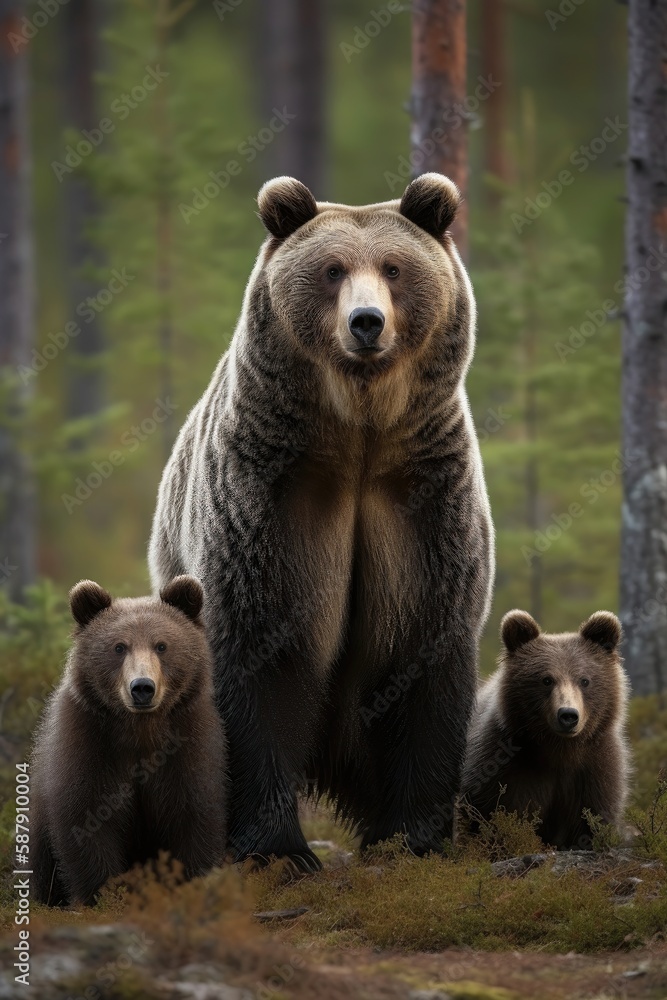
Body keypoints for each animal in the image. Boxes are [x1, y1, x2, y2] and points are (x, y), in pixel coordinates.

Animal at [31, 575, 227, 906]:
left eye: (162, 645)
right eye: (119, 647)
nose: (142, 687)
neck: (140, 730)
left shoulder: (188, 744)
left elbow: (192, 815)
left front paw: (190, 885)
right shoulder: (90, 745)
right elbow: (87, 819)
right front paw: (104, 896)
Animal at [149, 173, 494, 870]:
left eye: (393, 268)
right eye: (332, 270)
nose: (367, 322)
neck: (360, 433)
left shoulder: (423, 500)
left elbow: (423, 653)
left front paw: (414, 838)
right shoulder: (272, 496)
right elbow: (263, 659)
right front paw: (277, 850)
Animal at [461, 609, 631, 850]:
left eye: (584, 680)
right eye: (546, 680)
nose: (568, 715)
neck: (558, 750)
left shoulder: (594, 769)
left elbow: (592, 819)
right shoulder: (504, 767)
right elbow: (497, 814)